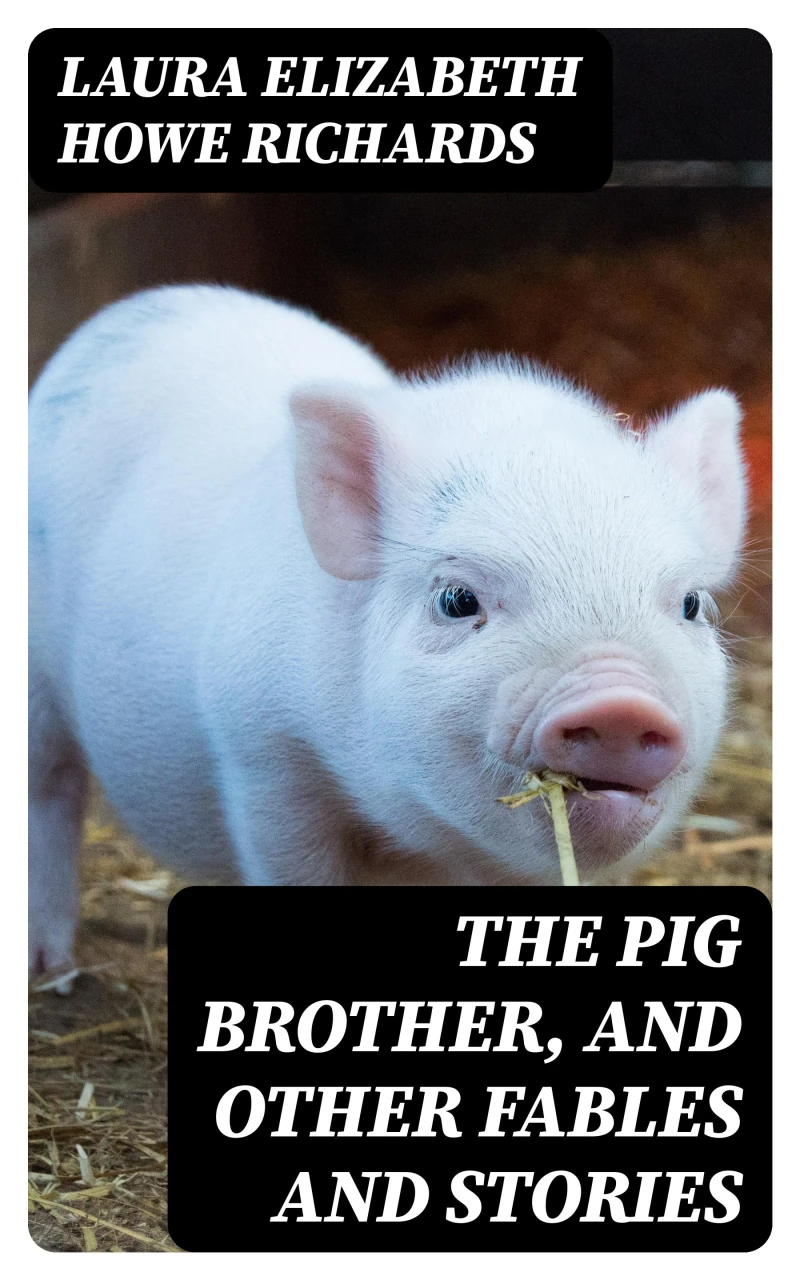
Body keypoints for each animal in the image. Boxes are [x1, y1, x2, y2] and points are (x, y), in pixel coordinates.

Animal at [29, 284, 747, 980]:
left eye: (691, 603)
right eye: (456, 600)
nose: (620, 701)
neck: (421, 846)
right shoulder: (263, 756)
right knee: (50, 790)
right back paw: (52, 969)